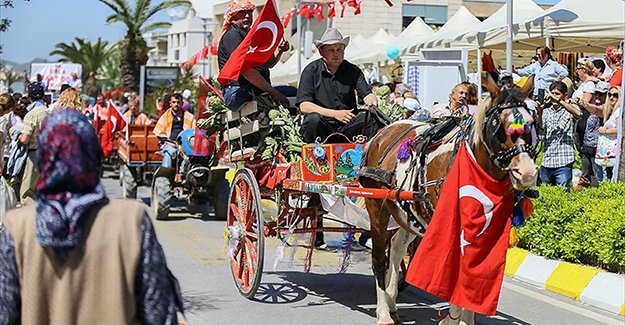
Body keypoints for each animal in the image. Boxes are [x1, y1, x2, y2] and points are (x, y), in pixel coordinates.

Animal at [358, 74, 540, 322]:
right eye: (499, 126)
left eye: (531, 124)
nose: (527, 173)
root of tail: (384, 130)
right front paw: (454, 318)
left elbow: (472, 273)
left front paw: (464, 318)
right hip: (377, 206)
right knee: (378, 257)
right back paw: (384, 312)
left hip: (409, 212)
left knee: (395, 249)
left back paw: (392, 301)